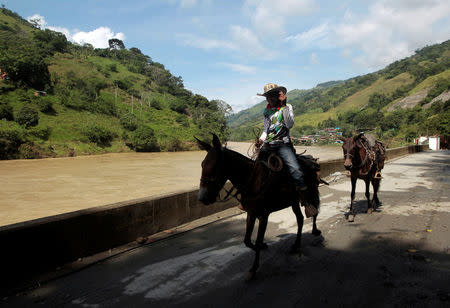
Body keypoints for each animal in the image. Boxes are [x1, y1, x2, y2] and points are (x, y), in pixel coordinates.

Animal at [198, 135, 324, 280]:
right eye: (202, 164)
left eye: (214, 166)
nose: (202, 198)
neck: (252, 181)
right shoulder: (251, 213)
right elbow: (247, 240)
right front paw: (263, 246)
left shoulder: (264, 215)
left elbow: (257, 241)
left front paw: (253, 269)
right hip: (293, 201)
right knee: (300, 219)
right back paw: (296, 245)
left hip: (311, 192)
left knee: (314, 210)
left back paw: (314, 231)